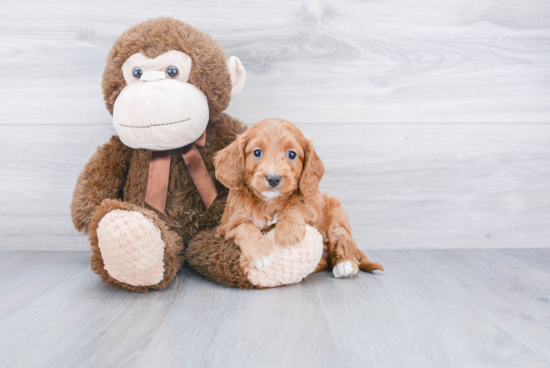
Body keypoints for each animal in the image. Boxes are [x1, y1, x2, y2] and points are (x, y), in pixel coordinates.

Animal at [216, 119, 384, 278]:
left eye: (292, 154)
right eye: (257, 153)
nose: (273, 178)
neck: (270, 202)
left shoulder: (312, 205)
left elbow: (296, 207)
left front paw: (288, 232)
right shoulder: (226, 228)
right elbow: (245, 227)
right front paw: (260, 253)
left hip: (336, 214)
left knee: (344, 244)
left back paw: (345, 264)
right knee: (325, 262)